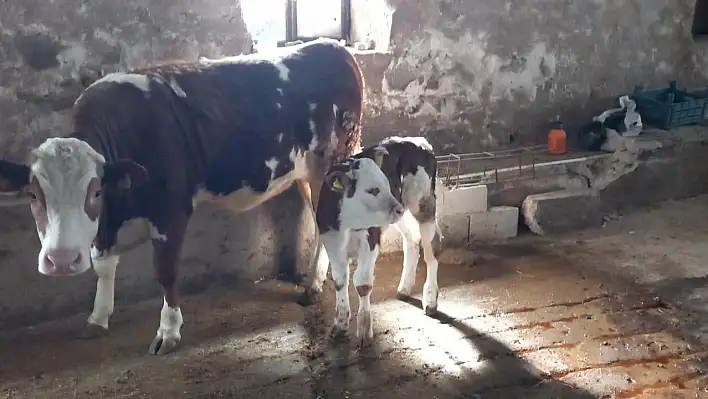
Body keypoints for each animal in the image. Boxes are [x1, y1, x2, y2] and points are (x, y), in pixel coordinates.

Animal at [0, 37, 366, 356]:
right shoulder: (107, 219)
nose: (61, 261)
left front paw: (168, 331)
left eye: (95, 190)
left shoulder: (171, 210)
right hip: (306, 173)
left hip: (333, 161)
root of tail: (333, 46)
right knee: (321, 221)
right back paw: (313, 284)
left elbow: (165, 271)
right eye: (33, 194)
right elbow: (103, 264)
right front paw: (98, 317)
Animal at [302, 137, 442, 346]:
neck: (350, 222)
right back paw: (405, 288)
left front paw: (364, 330)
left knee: (431, 247)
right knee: (412, 239)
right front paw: (340, 324)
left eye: (386, 184)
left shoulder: (370, 240)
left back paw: (431, 300)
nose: (398, 208)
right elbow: (340, 280)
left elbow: (362, 284)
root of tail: (416, 141)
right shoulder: (331, 240)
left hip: (423, 203)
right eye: (373, 190)